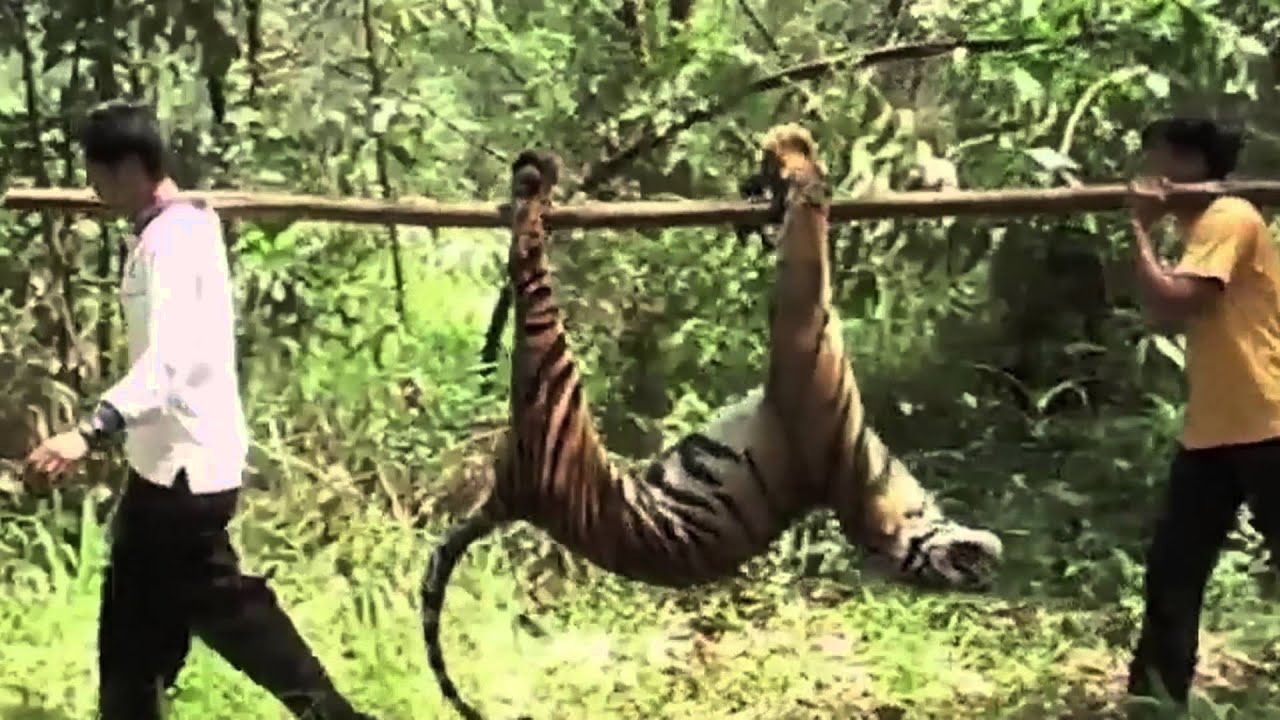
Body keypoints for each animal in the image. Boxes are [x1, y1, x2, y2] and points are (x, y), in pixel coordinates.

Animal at [421, 124, 1004, 720]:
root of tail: (510, 496)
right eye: (966, 570)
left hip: (549, 371)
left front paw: (793, 149)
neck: (866, 492)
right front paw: (766, 187)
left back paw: (536, 182)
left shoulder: (801, 330)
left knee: (526, 251)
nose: (987, 567)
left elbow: (807, 237)